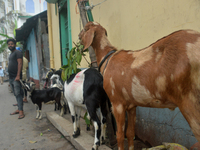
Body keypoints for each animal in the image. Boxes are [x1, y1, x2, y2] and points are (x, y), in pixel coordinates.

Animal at [78, 21, 200, 150]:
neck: (108, 59)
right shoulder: (132, 105)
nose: (78, 36)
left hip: (189, 101)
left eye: (85, 28)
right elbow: (130, 133)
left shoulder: (117, 103)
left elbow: (120, 135)